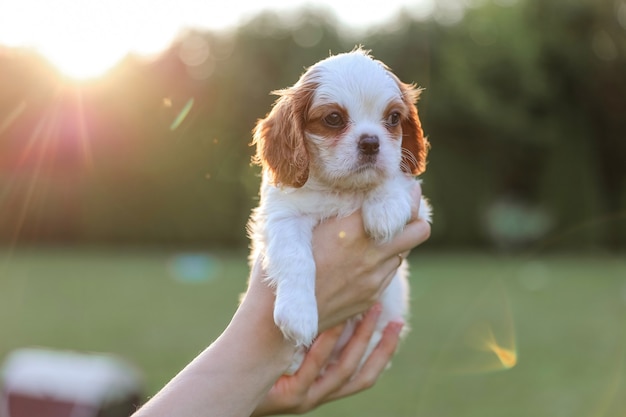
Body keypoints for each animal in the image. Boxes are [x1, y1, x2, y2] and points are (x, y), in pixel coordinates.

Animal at [247, 49, 428, 374]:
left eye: (393, 118)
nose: (370, 142)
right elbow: (295, 257)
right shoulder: (282, 215)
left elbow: (395, 178)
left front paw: (384, 207)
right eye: (333, 118)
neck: (341, 188)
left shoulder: (421, 207)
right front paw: (298, 314)